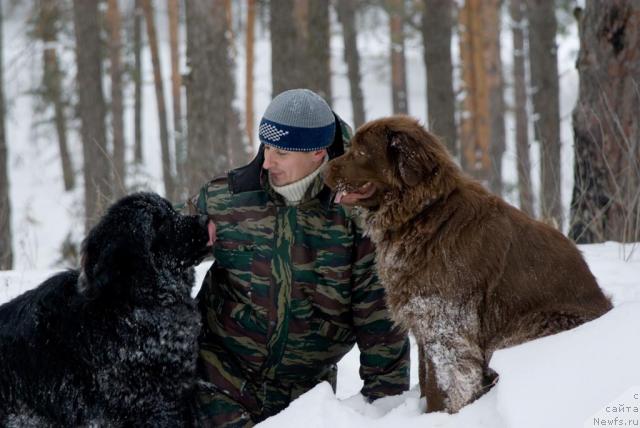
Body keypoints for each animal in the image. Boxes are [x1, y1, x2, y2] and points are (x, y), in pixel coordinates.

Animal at [324, 115, 608, 412]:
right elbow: (425, 376)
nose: (323, 171)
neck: (422, 215)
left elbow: (441, 383)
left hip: (531, 324)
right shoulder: (423, 320)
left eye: (361, 152)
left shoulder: (444, 323)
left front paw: (438, 415)